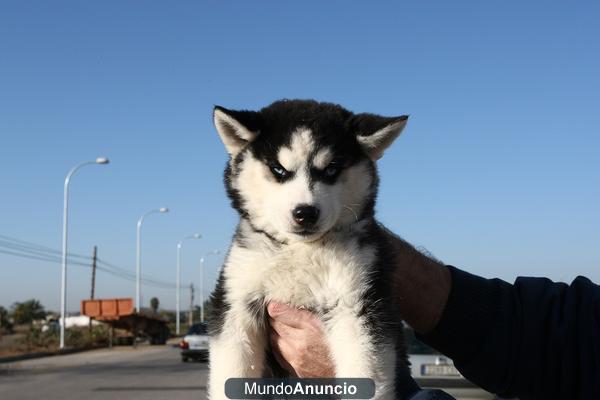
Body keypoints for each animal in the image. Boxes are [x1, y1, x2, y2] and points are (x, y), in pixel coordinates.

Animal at [209, 100, 410, 400]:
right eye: (279, 170)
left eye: (331, 169)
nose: (305, 213)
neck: (299, 250)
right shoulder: (236, 301)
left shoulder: (360, 304)